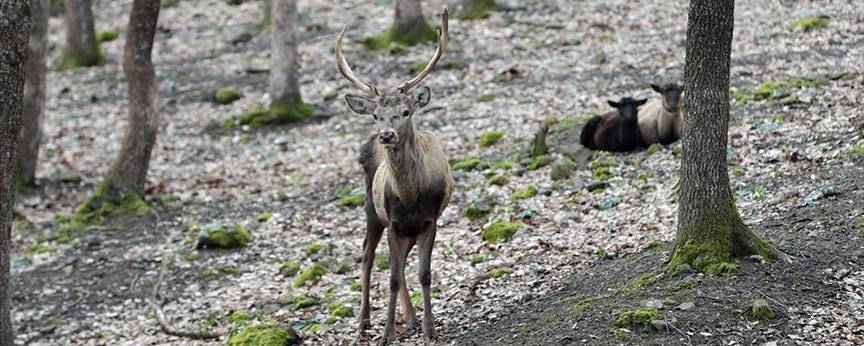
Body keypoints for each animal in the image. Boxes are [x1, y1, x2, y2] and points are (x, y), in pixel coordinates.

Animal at [334, 8, 452, 346]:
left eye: (406, 111)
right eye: (376, 114)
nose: (386, 134)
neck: (410, 197)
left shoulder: (429, 220)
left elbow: (423, 274)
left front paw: (429, 329)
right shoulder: (393, 220)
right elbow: (393, 277)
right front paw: (386, 334)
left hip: (401, 227)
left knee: (398, 261)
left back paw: (410, 320)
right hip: (372, 210)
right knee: (367, 255)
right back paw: (363, 323)